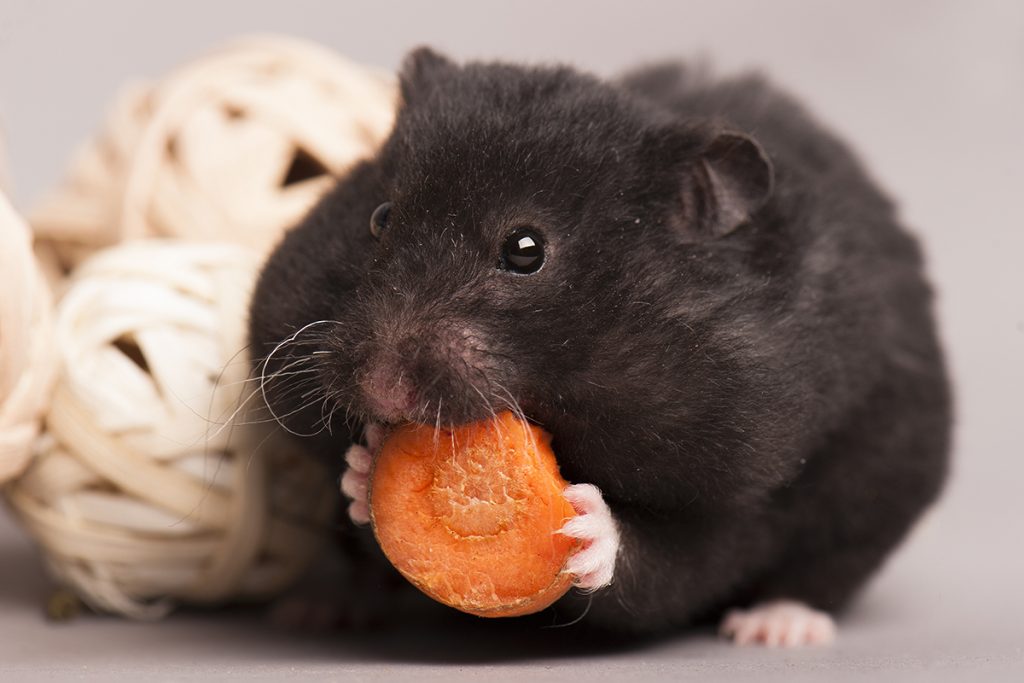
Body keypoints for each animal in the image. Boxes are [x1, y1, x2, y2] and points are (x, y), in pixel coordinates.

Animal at [248, 48, 951, 644]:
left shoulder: (742, 490)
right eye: (380, 218)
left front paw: (583, 524)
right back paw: (315, 609)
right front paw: (365, 465)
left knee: (822, 572)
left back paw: (777, 627)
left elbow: (676, 565)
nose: (382, 389)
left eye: (525, 250)